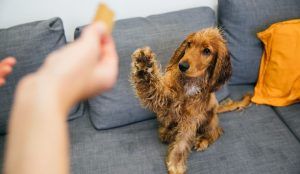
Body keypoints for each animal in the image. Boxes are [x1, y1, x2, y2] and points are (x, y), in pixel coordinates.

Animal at [131, 27, 232, 173]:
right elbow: (151, 86)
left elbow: (181, 144)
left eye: (207, 51)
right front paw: (143, 64)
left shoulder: (190, 120)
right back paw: (166, 132)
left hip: (210, 118)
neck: (189, 83)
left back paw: (202, 140)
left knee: (216, 131)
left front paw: (176, 165)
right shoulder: (163, 97)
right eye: (189, 44)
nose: (182, 66)